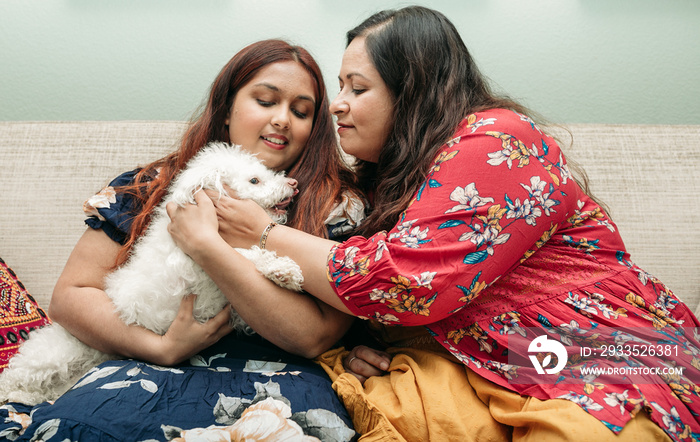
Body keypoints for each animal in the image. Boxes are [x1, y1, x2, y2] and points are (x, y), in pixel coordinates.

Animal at [0, 143, 304, 406]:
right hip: (51, 357)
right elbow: (244, 256)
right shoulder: (199, 267)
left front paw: (281, 270)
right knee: (11, 380)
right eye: (254, 180)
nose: (293, 184)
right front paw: (283, 269)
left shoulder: (233, 303)